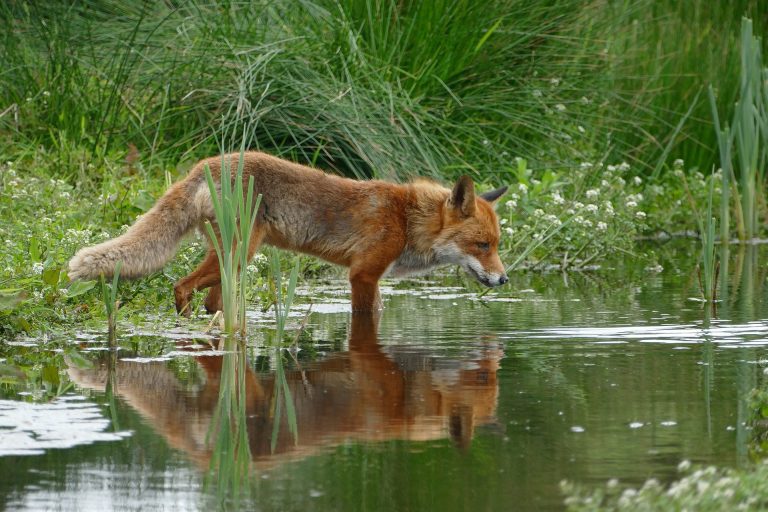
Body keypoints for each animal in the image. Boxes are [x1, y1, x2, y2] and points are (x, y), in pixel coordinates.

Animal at [67, 150, 510, 314]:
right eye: (481, 245)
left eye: (496, 245)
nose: (505, 280)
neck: (406, 219)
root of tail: (205, 164)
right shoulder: (363, 275)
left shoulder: (372, 277)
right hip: (239, 254)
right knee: (180, 285)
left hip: (230, 262)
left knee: (210, 301)